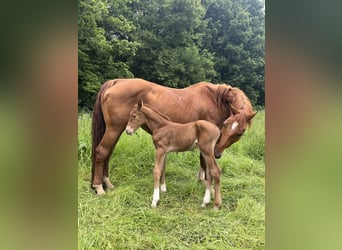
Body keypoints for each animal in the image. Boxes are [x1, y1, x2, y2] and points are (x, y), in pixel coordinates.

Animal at [91, 78, 256, 195]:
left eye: (239, 132)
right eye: (226, 124)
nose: (217, 152)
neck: (215, 100)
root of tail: (117, 81)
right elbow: (204, 160)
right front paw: (205, 182)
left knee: (108, 153)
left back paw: (107, 183)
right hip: (114, 129)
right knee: (102, 152)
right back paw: (99, 187)